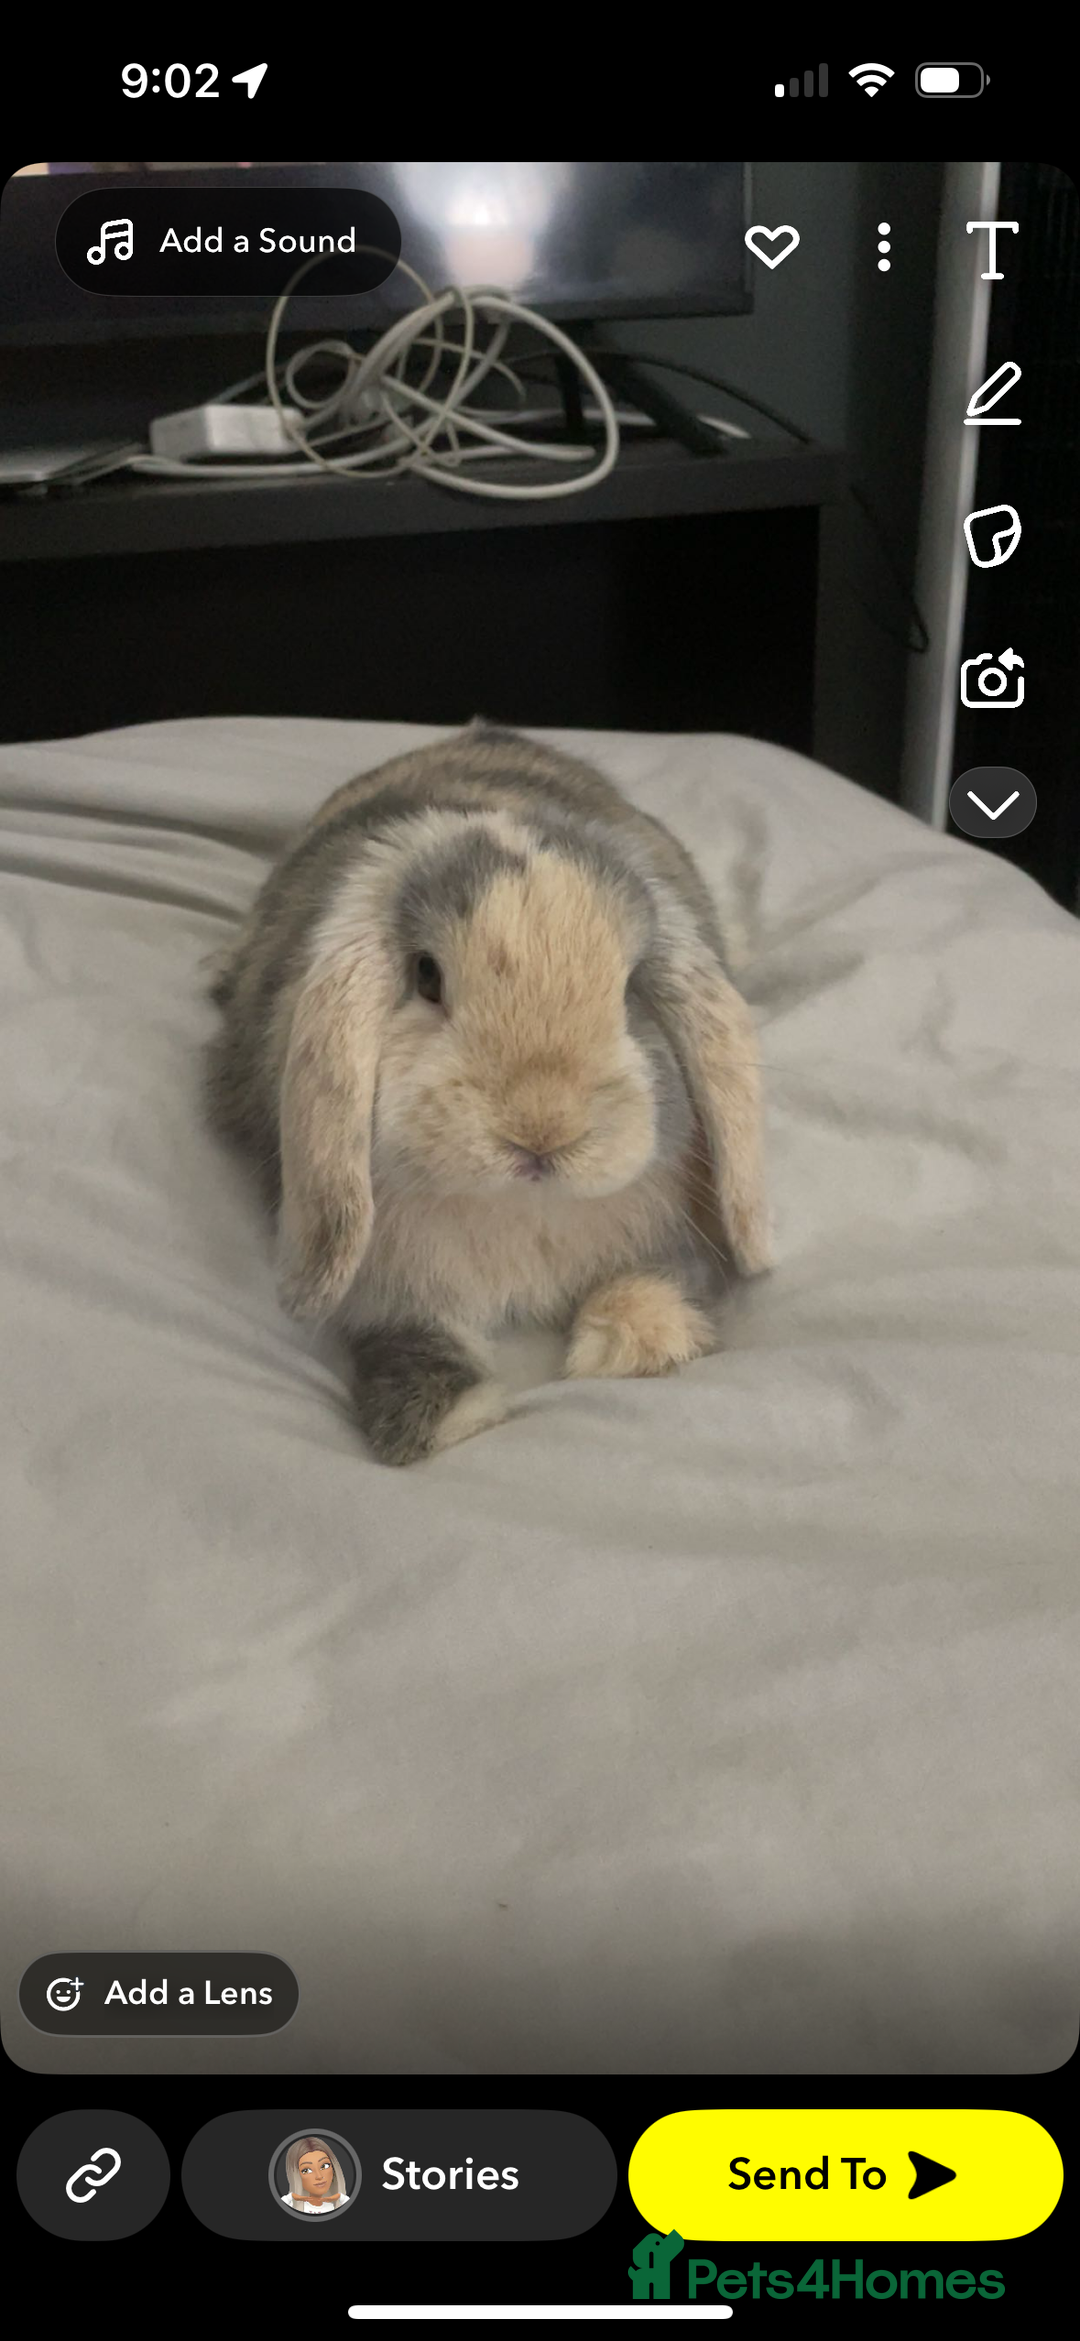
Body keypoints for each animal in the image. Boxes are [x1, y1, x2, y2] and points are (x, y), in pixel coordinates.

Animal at [205, 721, 771, 1464]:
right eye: (427, 976)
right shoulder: (391, 1290)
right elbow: (413, 1337)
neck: (520, 1207)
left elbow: (653, 1274)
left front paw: (642, 1343)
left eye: (629, 989)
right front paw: (455, 1420)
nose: (542, 1130)